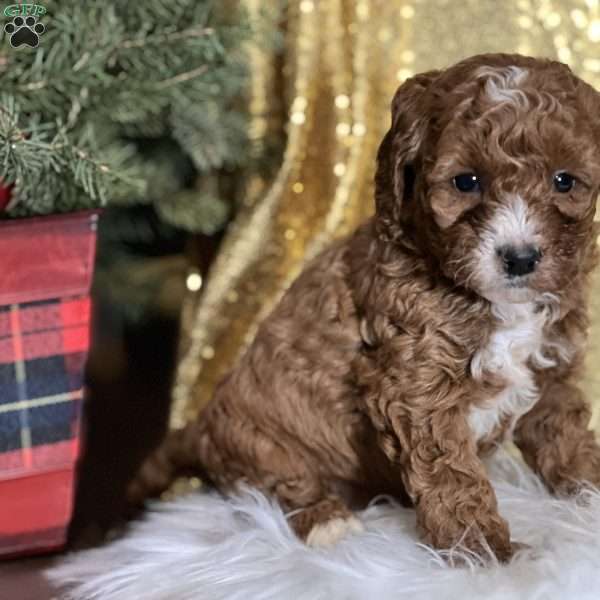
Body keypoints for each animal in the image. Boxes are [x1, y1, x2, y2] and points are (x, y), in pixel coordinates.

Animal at [129, 55, 600, 564]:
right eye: (466, 181)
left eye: (564, 181)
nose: (520, 258)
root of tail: (199, 426)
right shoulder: (415, 387)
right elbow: (453, 473)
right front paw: (482, 549)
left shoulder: (552, 368)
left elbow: (565, 434)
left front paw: (589, 494)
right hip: (258, 442)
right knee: (276, 486)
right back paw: (326, 520)